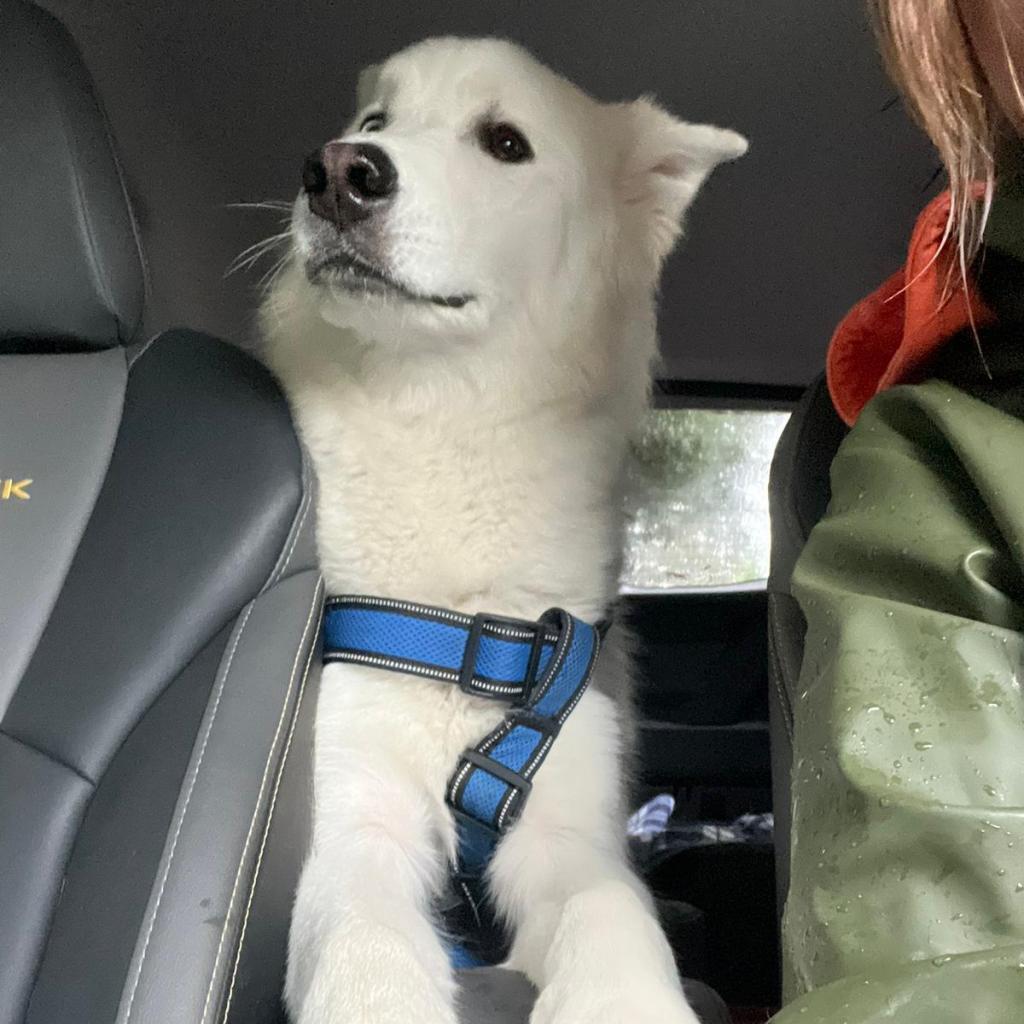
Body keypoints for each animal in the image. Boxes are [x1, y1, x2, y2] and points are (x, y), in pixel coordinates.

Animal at [264, 36, 745, 1019]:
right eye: (377, 122)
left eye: (505, 143)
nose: (338, 171)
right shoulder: (356, 816)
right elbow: (365, 940)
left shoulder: (568, 830)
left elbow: (611, 909)